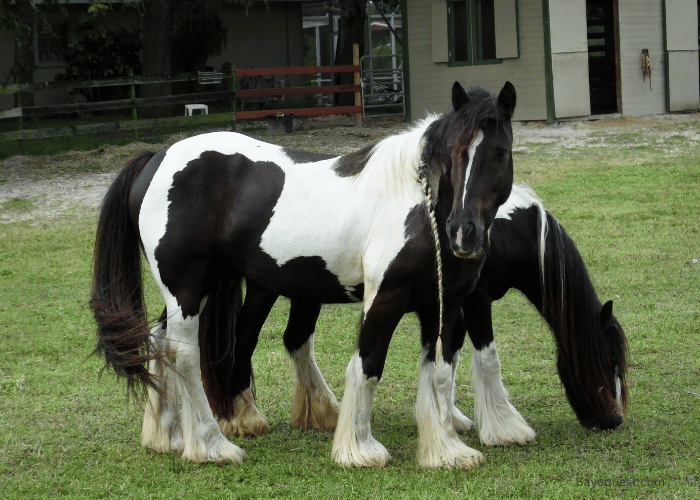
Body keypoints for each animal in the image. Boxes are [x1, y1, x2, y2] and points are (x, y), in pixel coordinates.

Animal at [90, 80, 516, 466]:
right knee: (183, 355)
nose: (463, 232)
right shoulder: (385, 299)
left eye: (500, 153)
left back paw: (168, 435)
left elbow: (439, 373)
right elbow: (368, 365)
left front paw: (446, 450)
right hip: (188, 289)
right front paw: (358, 450)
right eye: (456, 153)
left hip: (198, 288)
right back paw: (212, 446)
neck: (416, 203)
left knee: (159, 341)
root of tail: (156, 159)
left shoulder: (445, 306)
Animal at [202, 184, 628, 450]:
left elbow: (447, 357)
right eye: (608, 360)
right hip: (264, 289)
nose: (613, 420)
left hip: (302, 293)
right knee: (243, 341)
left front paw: (450, 419)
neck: (505, 231)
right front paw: (503, 428)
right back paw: (242, 417)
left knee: (294, 341)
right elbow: (485, 356)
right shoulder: (476, 301)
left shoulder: (451, 306)